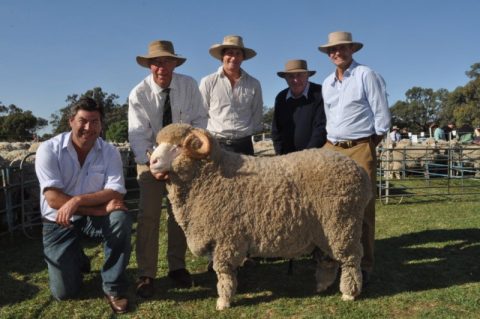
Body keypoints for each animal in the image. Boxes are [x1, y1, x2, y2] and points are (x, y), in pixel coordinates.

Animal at [148, 124, 374, 312]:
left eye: (178, 147)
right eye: (158, 144)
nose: (152, 162)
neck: (213, 176)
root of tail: (359, 171)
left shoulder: (227, 237)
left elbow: (223, 270)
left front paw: (224, 301)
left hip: (342, 224)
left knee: (351, 258)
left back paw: (349, 293)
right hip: (327, 230)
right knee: (330, 259)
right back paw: (322, 285)